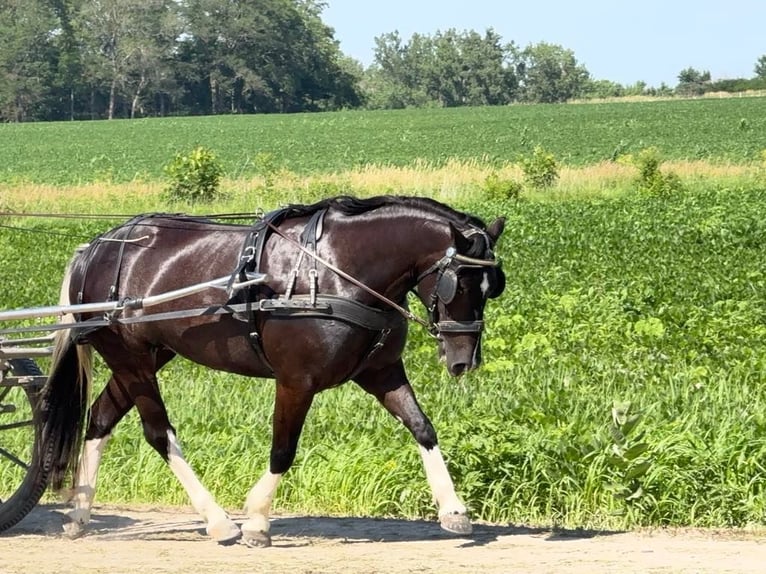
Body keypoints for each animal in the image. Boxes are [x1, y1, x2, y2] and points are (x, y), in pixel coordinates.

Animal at [40, 195, 506, 547]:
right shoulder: (296, 381)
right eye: (459, 283)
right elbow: (283, 449)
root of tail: (96, 247)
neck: (334, 270)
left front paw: (453, 509)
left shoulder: (382, 371)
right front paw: (257, 520)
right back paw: (218, 522)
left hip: (148, 355)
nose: (463, 360)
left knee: (101, 417)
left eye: (492, 287)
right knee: (158, 433)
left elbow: (423, 427)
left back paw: (79, 515)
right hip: (130, 357)